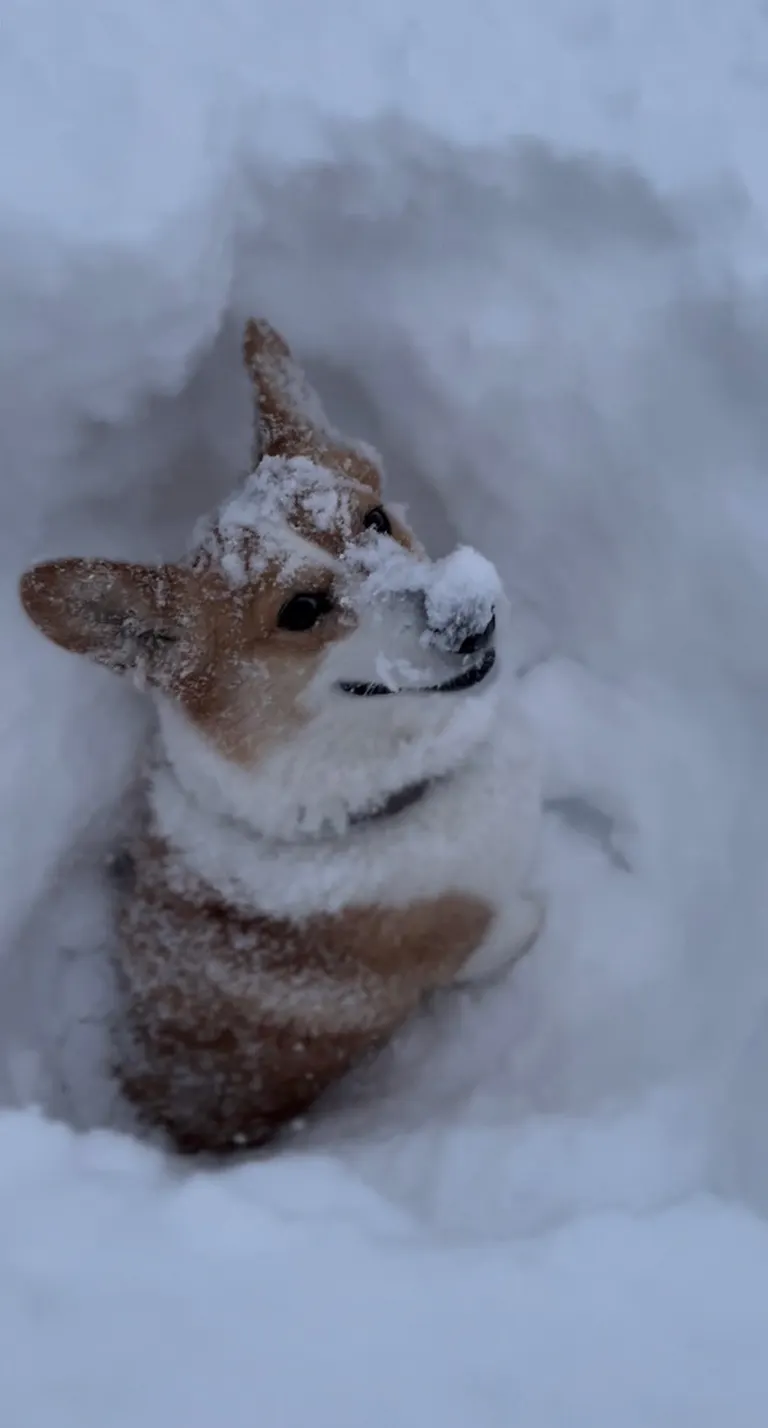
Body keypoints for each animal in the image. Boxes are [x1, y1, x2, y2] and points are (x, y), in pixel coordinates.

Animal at [19, 318, 545, 1153]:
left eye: (374, 519)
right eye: (300, 611)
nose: (469, 616)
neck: (368, 804)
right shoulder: (467, 936)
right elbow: (506, 929)